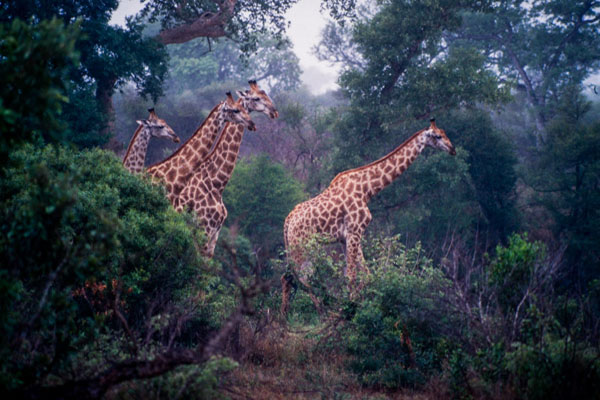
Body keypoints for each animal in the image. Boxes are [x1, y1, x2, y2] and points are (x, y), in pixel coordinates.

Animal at [280, 119, 454, 316]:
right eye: (438, 136)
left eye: (444, 133)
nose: (452, 149)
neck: (367, 190)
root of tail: (288, 221)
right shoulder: (354, 232)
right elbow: (351, 275)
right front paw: (350, 309)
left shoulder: (348, 237)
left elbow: (366, 273)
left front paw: (360, 304)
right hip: (301, 246)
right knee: (295, 277)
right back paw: (310, 313)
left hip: (300, 247)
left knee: (294, 277)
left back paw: (295, 314)